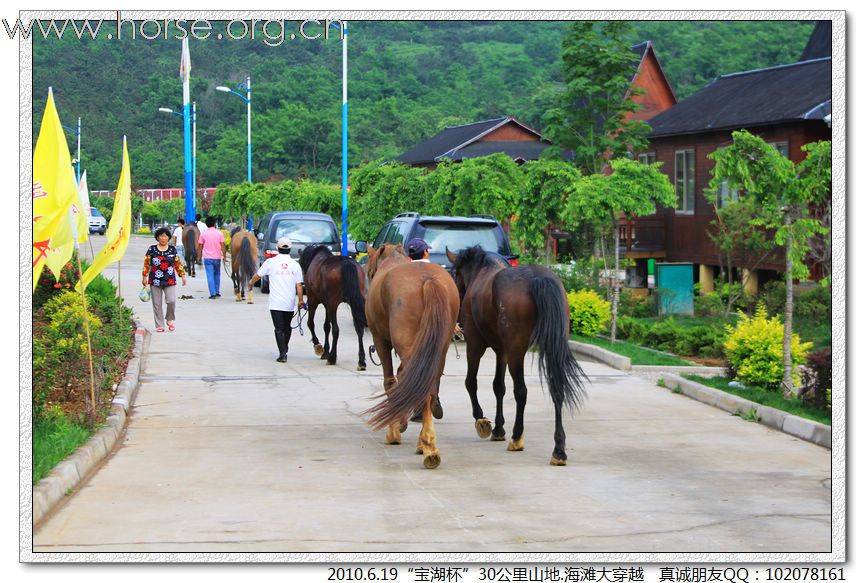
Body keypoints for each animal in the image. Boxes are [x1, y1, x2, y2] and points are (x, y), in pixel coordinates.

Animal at [298, 244, 366, 372]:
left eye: (300, 264)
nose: (302, 281)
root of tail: (346, 263)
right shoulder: (327, 304)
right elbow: (326, 326)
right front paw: (325, 351)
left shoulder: (314, 300)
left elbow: (311, 323)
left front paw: (319, 347)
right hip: (355, 301)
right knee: (359, 328)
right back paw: (361, 361)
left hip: (333, 303)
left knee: (336, 329)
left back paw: (332, 358)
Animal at [362, 245, 460, 470]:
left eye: (370, 272)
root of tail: (428, 280)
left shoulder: (381, 341)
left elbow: (390, 382)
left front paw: (394, 431)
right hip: (439, 351)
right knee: (428, 389)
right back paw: (427, 444)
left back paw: (427, 446)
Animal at [446, 245, 588, 466]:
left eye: (454, 273)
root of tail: (538, 278)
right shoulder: (502, 351)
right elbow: (498, 386)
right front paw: (498, 429)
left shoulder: (476, 346)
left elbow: (471, 382)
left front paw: (482, 421)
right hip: (550, 348)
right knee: (557, 389)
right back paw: (558, 449)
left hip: (516, 351)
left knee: (521, 392)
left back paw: (517, 437)